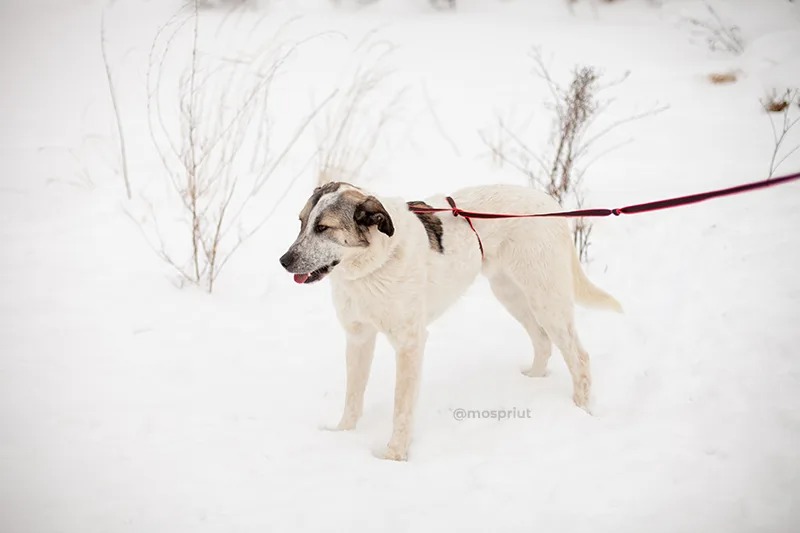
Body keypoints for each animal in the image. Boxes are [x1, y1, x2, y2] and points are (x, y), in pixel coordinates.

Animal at [278, 181, 620, 460]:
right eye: (301, 223)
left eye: (323, 227)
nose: (283, 261)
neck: (373, 264)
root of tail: (550, 204)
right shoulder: (358, 337)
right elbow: (353, 397)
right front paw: (343, 435)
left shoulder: (410, 344)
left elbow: (401, 408)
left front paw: (394, 456)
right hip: (510, 293)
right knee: (542, 340)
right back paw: (532, 382)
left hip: (546, 299)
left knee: (579, 357)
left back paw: (580, 410)